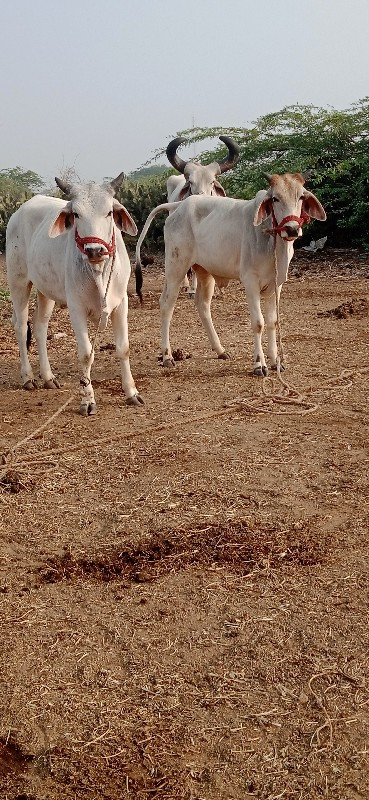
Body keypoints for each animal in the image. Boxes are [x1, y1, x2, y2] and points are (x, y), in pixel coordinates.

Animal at [6, 173, 144, 412]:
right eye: (77, 214)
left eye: (109, 212)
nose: (94, 250)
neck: (98, 271)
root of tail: (19, 211)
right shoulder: (76, 308)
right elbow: (86, 354)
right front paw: (88, 400)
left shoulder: (121, 303)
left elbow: (123, 348)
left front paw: (131, 392)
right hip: (19, 282)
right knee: (22, 327)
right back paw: (28, 377)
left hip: (46, 290)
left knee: (40, 326)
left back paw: (48, 377)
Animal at [135, 171, 324, 376]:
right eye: (275, 198)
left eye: (300, 197)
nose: (292, 229)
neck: (271, 240)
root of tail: (179, 206)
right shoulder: (250, 281)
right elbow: (258, 323)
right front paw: (259, 364)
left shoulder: (276, 285)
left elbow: (273, 322)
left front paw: (276, 362)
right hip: (175, 266)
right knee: (166, 304)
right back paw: (167, 356)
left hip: (204, 271)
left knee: (202, 304)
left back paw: (220, 350)